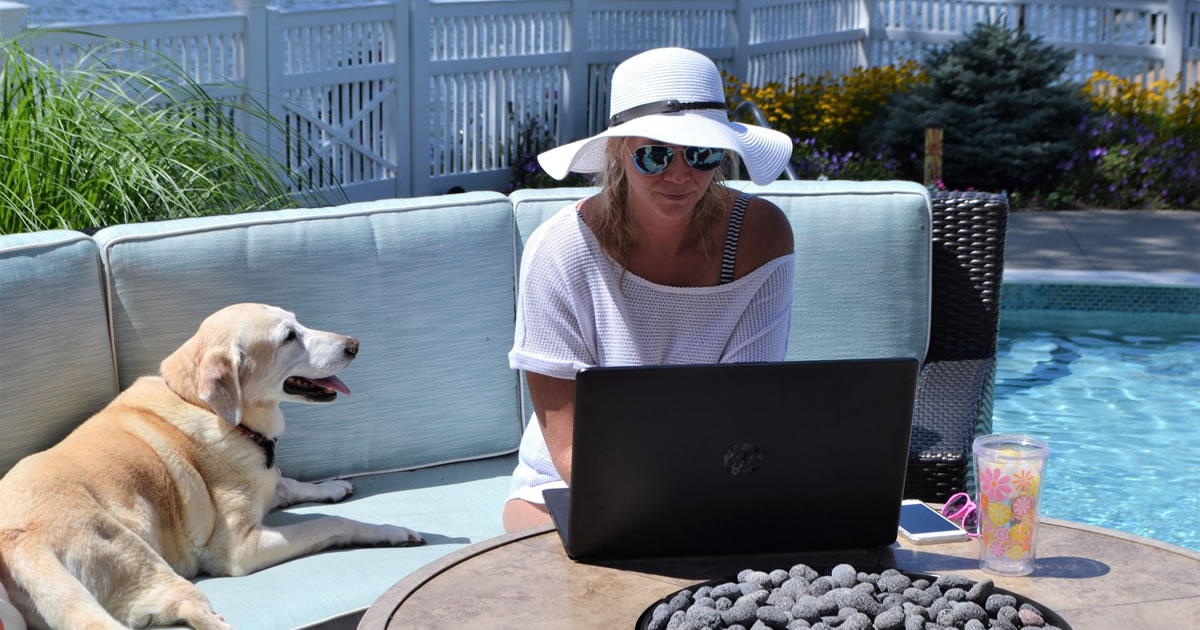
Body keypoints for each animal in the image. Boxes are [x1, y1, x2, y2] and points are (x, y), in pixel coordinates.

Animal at [0, 302, 427, 624]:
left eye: (298, 322)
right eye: (288, 337)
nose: (354, 344)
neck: (203, 405)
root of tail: (21, 546)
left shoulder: (264, 481)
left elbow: (288, 482)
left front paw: (332, 486)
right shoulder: (241, 548)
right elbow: (330, 523)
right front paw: (390, 531)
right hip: (140, 558)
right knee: (187, 608)